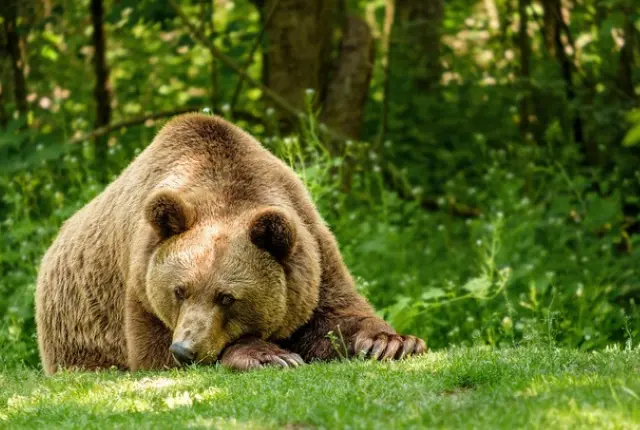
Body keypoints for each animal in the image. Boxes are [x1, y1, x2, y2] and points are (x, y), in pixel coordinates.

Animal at [35, 113, 426, 374]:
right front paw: (270, 354)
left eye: (227, 297)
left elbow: (338, 314)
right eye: (179, 290)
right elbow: (153, 353)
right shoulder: (141, 285)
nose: (185, 349)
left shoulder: (312, 251)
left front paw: (393, 343)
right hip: (76, 335)